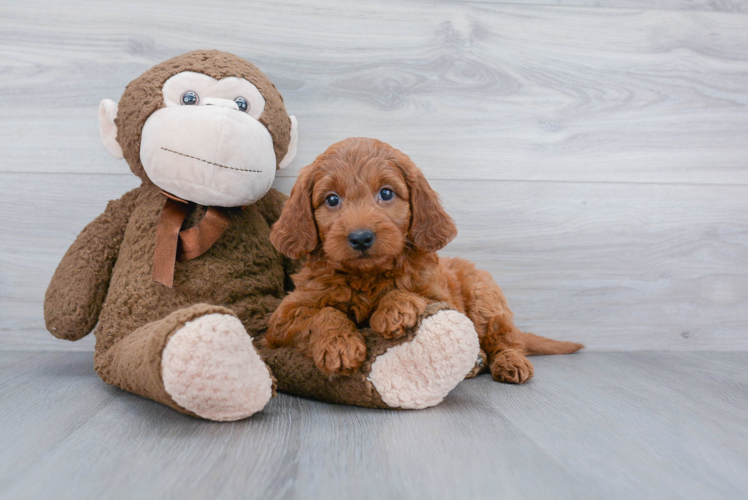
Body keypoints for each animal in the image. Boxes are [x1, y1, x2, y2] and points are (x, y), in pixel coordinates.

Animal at [268, 137, 584, 378]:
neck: (367, 276)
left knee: (508, 339)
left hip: (484, 299)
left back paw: (509, 361)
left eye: (386, 193)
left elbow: (409, 292)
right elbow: (323, 313)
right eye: (332, 199)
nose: (360, 237)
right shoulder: (282, 320)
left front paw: (395, 309)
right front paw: (339, 344)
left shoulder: (441, 298)